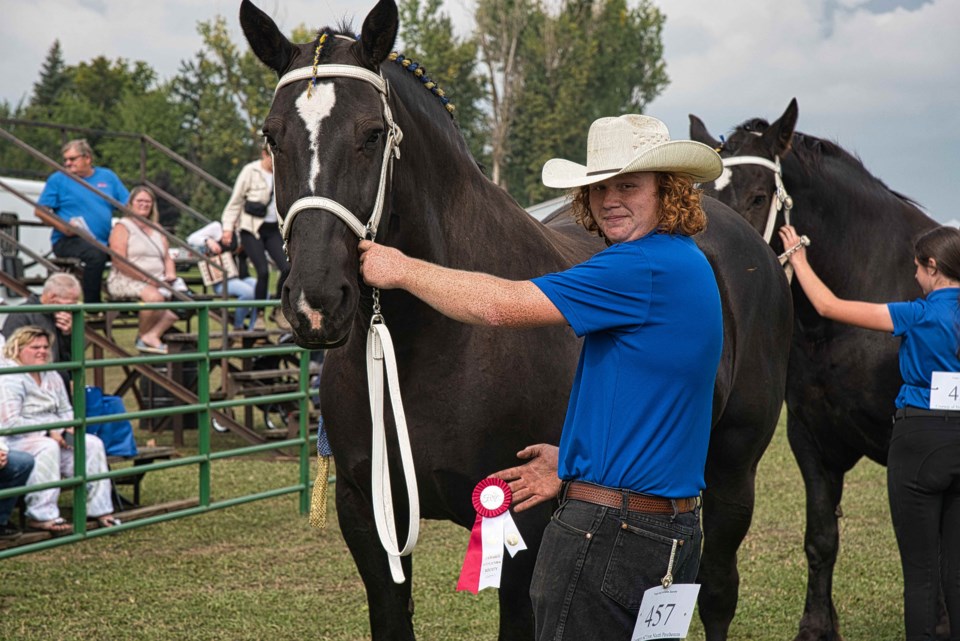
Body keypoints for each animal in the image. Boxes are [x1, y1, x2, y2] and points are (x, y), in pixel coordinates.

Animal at [242, 2, 796, 636]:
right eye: (272, 135)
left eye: (372, 134)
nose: (315, 301)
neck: (434, 346)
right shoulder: (368, 517)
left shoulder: (526, 527)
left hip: (734, 468)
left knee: (717, 590)